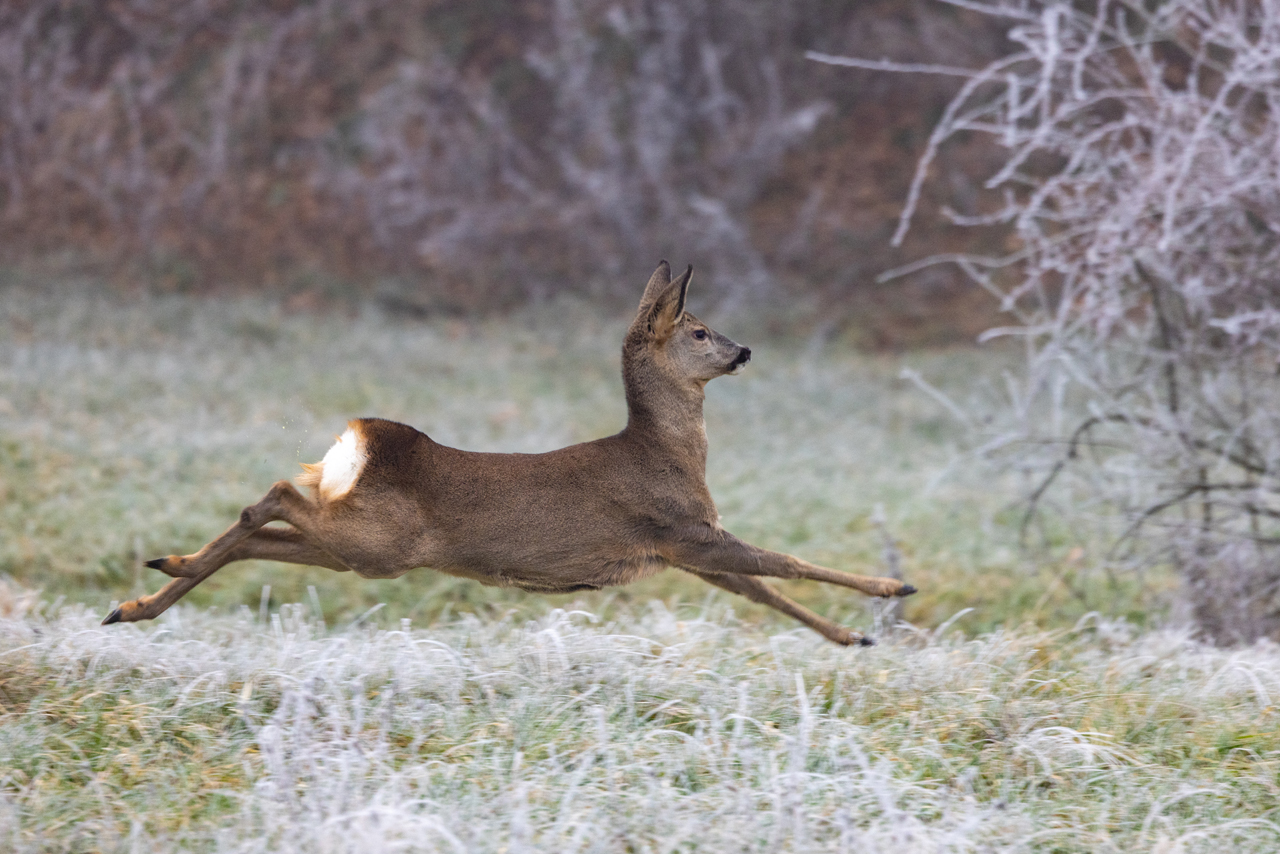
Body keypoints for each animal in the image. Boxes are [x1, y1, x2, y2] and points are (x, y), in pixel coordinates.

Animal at [104, 263, 916, 645]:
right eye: (699, 330)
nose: (745, 349)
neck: (671, 456)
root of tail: (357, 441)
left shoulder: (680, 550)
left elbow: (764, 591)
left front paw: (853, 637)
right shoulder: (681, 529)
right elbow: (787, 563)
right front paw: (891, 588)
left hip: (361, 546)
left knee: (265, 531)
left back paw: (141, 594)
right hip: (380, 540)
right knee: (269, 496)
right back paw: (159, 576)